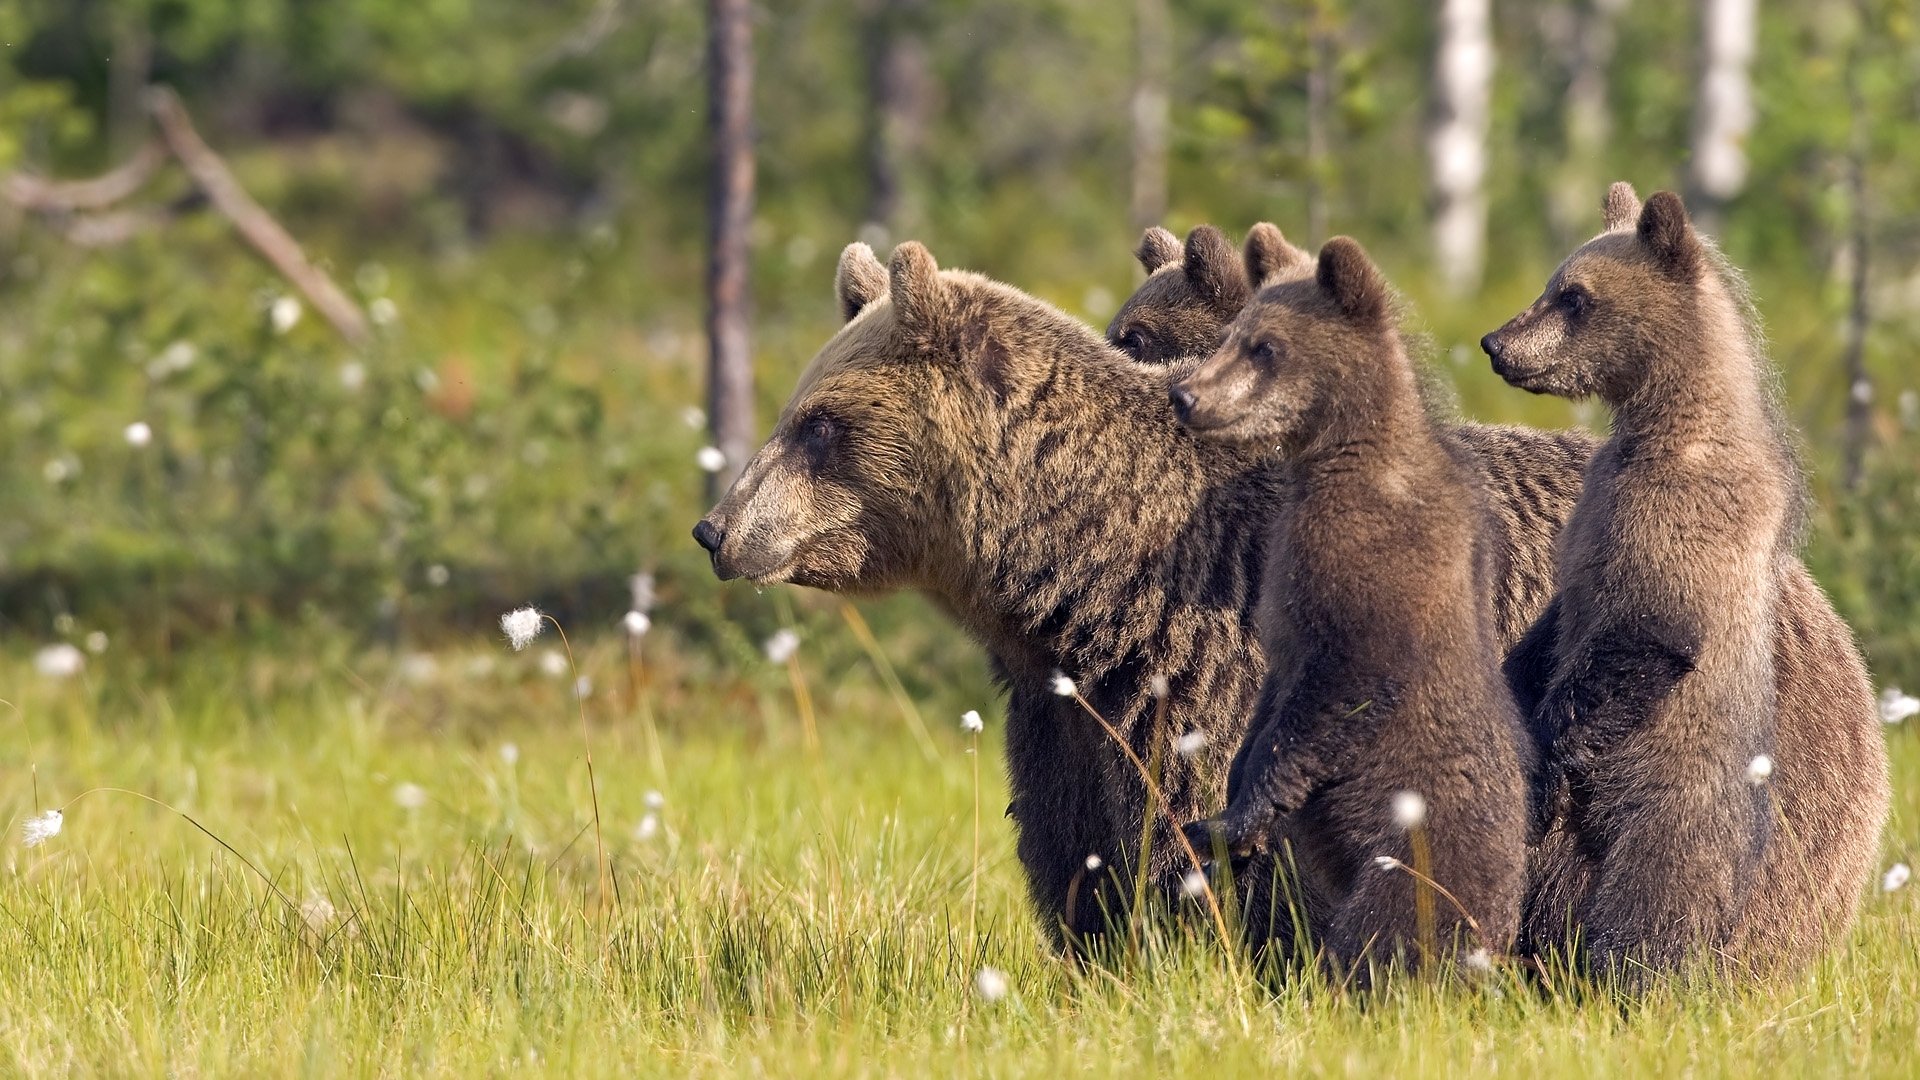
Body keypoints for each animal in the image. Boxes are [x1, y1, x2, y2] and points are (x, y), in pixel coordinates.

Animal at [695, 240, 1294, 948]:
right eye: (794, 414)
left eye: (818, 425)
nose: (716, 530)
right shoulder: (1062, 727)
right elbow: (1076, 857)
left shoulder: (1202, 675)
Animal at [1174, 237, 1531, 979]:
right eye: (1230, 336)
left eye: (1266, 346)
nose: (1185, 394)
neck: (1337, 458)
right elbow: (1273, 696)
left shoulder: (1370, 564)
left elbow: (1342, 685)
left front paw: (1231, 819)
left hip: (1419, 856)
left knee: (1387, 936)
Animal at [1482, 183, 1891, 981]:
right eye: (1554, 283)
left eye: (1573, 296)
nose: (1495, 342)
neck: (1666, 422)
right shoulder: (1592, 513)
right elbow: (1555, 621)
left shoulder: (1678, 521)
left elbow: (1646, 635)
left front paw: (1543, 758)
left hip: (1675, 808)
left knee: (1651, 906)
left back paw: (1631, 973)